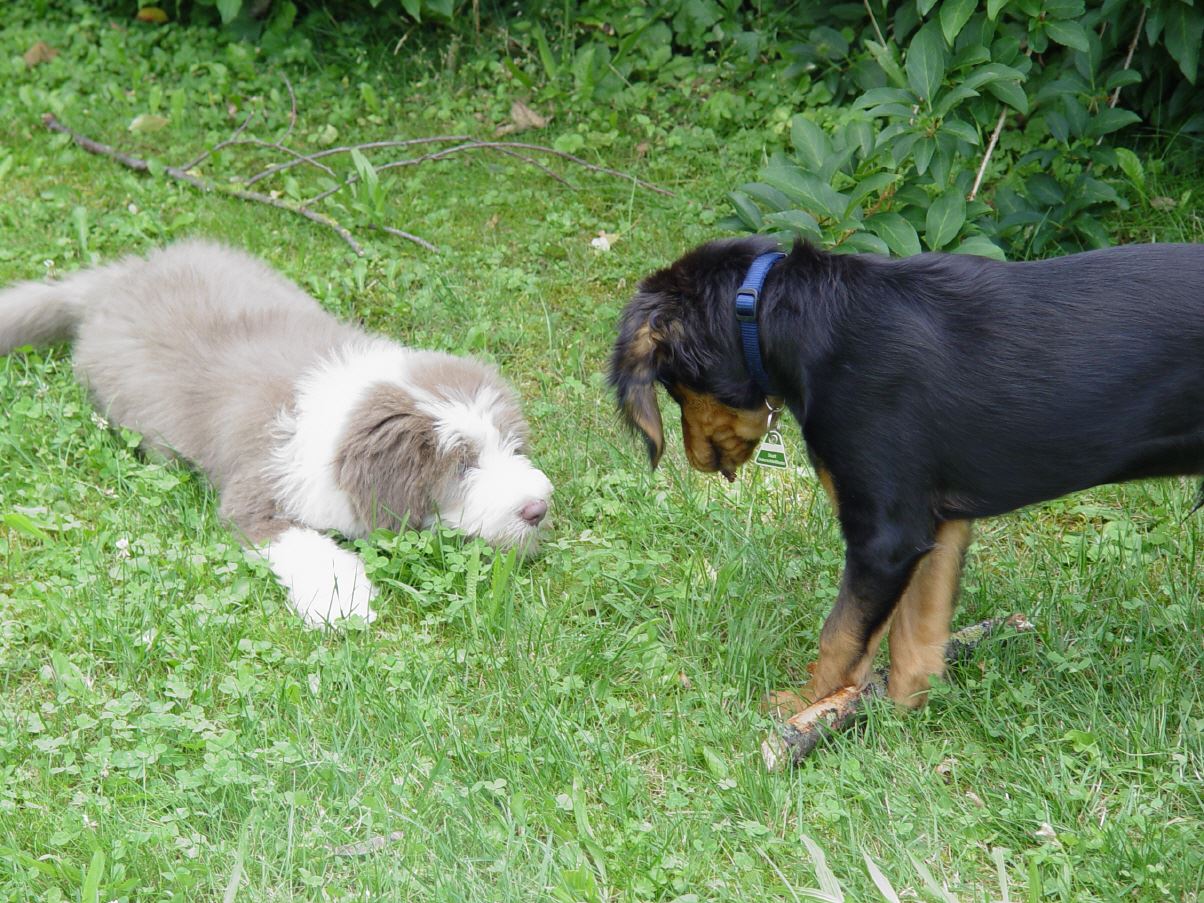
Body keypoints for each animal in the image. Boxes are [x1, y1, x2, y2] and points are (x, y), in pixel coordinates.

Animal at [0, 241, 553, 627]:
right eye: (463, 466)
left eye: (512, 447)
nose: (538, 509)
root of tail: (118, 278)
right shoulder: (257, 495)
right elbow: (307, 545)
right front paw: (343, 606)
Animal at [611, 236, 1204, 710]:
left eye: (671, 385)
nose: (696, 459)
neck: (776, 311)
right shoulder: (936, 524)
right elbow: (916, 637)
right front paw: (901, 718)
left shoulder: (885, 535)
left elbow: (839, 634)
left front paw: (799, 707)